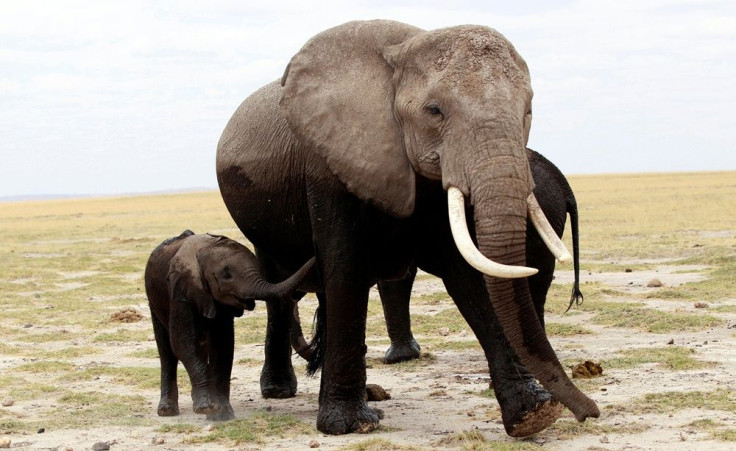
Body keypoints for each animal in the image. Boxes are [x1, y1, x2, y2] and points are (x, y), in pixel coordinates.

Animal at [145, 231, 314, 422]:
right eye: (226, 275)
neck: (205, 249)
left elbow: (223, 345)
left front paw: (220, 414)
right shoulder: (181, 294)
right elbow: (183, 343)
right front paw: (206, 407)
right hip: (154, 300)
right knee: (166, 350)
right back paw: (167, 410)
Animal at [217, 19, 600, 436]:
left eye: (528, 110)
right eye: (434, 111)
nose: (591, 412)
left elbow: (470, 274)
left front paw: (534, 416)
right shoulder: (329, 165)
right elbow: (347, 267)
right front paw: (348, 426)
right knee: (280, 286)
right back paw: (282, 391)